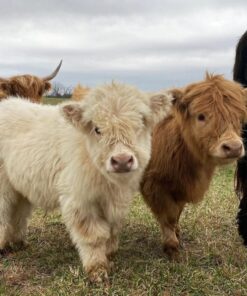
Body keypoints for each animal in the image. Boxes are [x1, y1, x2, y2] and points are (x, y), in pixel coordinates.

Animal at [0, 82, 172, 282]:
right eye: (97, 129)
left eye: (141, 123)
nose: (122, 160)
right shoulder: (80, 201)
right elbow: (93, 237)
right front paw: (97, 270)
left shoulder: (116, 201)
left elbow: (112, 230)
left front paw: (110, 253)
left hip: (19, 186)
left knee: (18, 212)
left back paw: (17, 242)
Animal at [141, 73, 247, 260]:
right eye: (201, 116)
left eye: (239, 118)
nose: (233, 147)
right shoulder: (155, 186)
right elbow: (168, 216)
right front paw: (172, 247)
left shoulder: (182, 188)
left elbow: (177, 213)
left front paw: (177, 234)